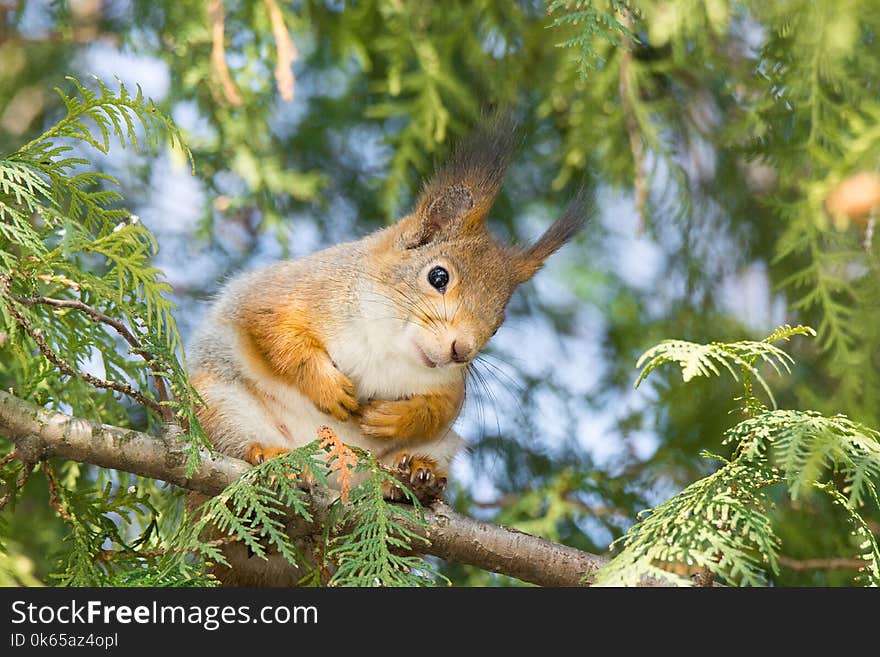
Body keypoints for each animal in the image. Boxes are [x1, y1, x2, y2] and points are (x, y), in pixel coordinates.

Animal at [186, 118, 584, 584]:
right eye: (438, 276)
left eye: (499, 322)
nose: (461, 351)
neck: (390, 342)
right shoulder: (286, 294)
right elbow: (274, 334)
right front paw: (328, 388)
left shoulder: (450, 386)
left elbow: (439, 409)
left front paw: (393, 418)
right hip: (219, 408)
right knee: (234, 450)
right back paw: (269, 460)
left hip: (440, 450)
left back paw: (416, 477)